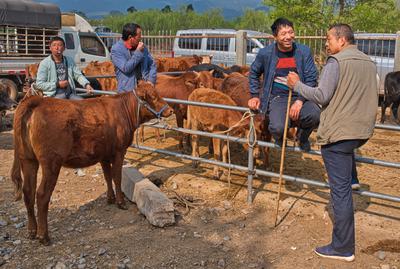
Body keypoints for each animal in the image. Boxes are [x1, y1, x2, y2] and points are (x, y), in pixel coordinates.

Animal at [10, 80, 173, 244]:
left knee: (28, 191)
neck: (123, 110)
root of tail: (36, 101)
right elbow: (117, 177)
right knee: (42, 195)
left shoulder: (104, 154)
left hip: (28, 159)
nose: (170, 110)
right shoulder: (119, 151)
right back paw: (43, 236)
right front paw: (120, 202)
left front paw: (110, 198)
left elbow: (107, 176)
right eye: (153, 96)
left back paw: (32, 231)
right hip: (51, 163)